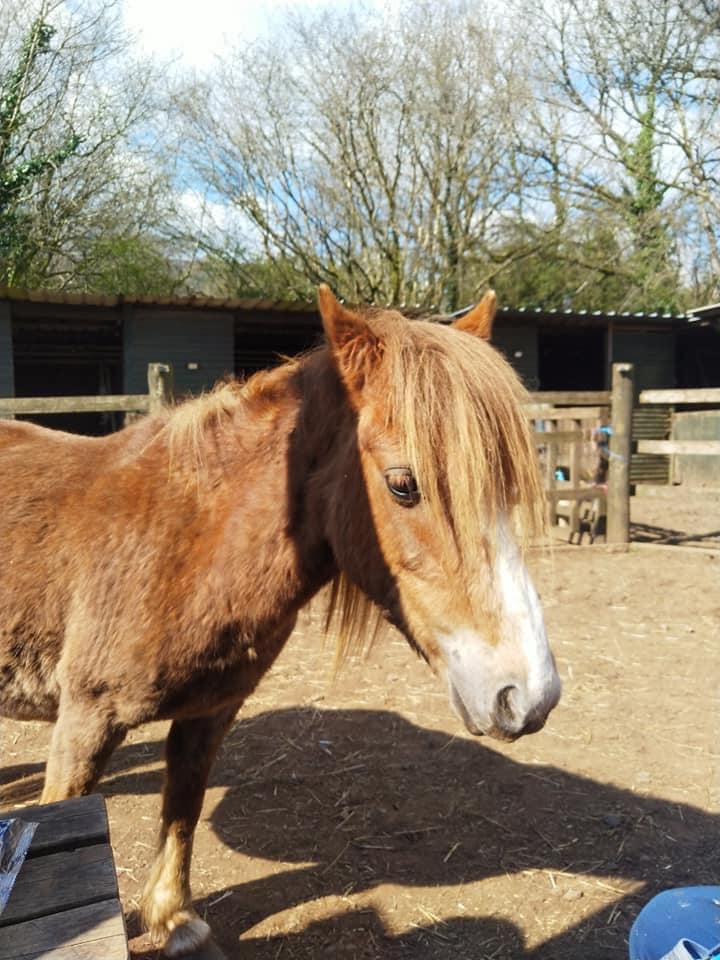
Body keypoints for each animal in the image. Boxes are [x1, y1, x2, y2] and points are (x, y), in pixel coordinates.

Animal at [0, 286, 560, 955]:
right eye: (403, 485)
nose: (529, 697)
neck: (188, 541)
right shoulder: (84, 722)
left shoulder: (210, 713)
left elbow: (183, 809)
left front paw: (174, 921)